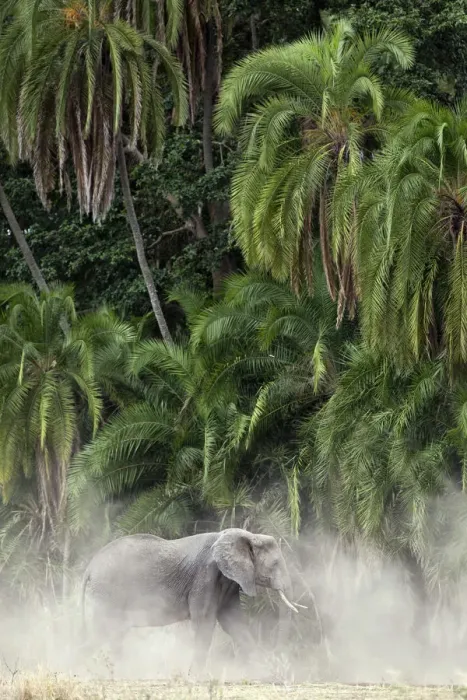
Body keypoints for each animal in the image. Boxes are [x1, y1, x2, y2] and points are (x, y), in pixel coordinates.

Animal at [80, 527, 302, 673]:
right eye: (275, 564)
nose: (276, 656)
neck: (245, 535)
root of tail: (90, 568)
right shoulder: (205, 578)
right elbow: (204, 622)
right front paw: (196, 677)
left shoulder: (228, 582)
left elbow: (234, 623)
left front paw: (260, 670)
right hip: (108, 593)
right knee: (102, 631)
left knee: (113, 634)